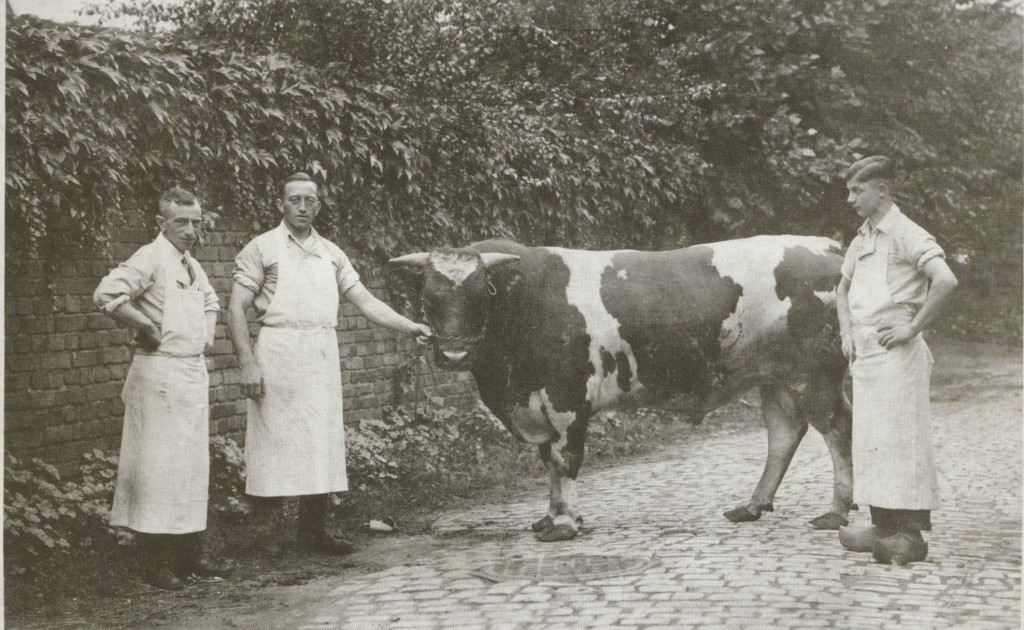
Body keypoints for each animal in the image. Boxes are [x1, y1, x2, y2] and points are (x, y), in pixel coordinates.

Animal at [391, 236, 856, 540]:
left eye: (479, 298)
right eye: (429, 300)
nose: (453, 356)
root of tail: (826, 246)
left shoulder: (566, 398)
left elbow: (564, 459)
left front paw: (565, 524)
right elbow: (547, 461)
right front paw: (551, 516)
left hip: (815, 376)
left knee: (838, 431)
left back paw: (836, 513)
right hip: (774, 377)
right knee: (784, 435)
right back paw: (752, 506)